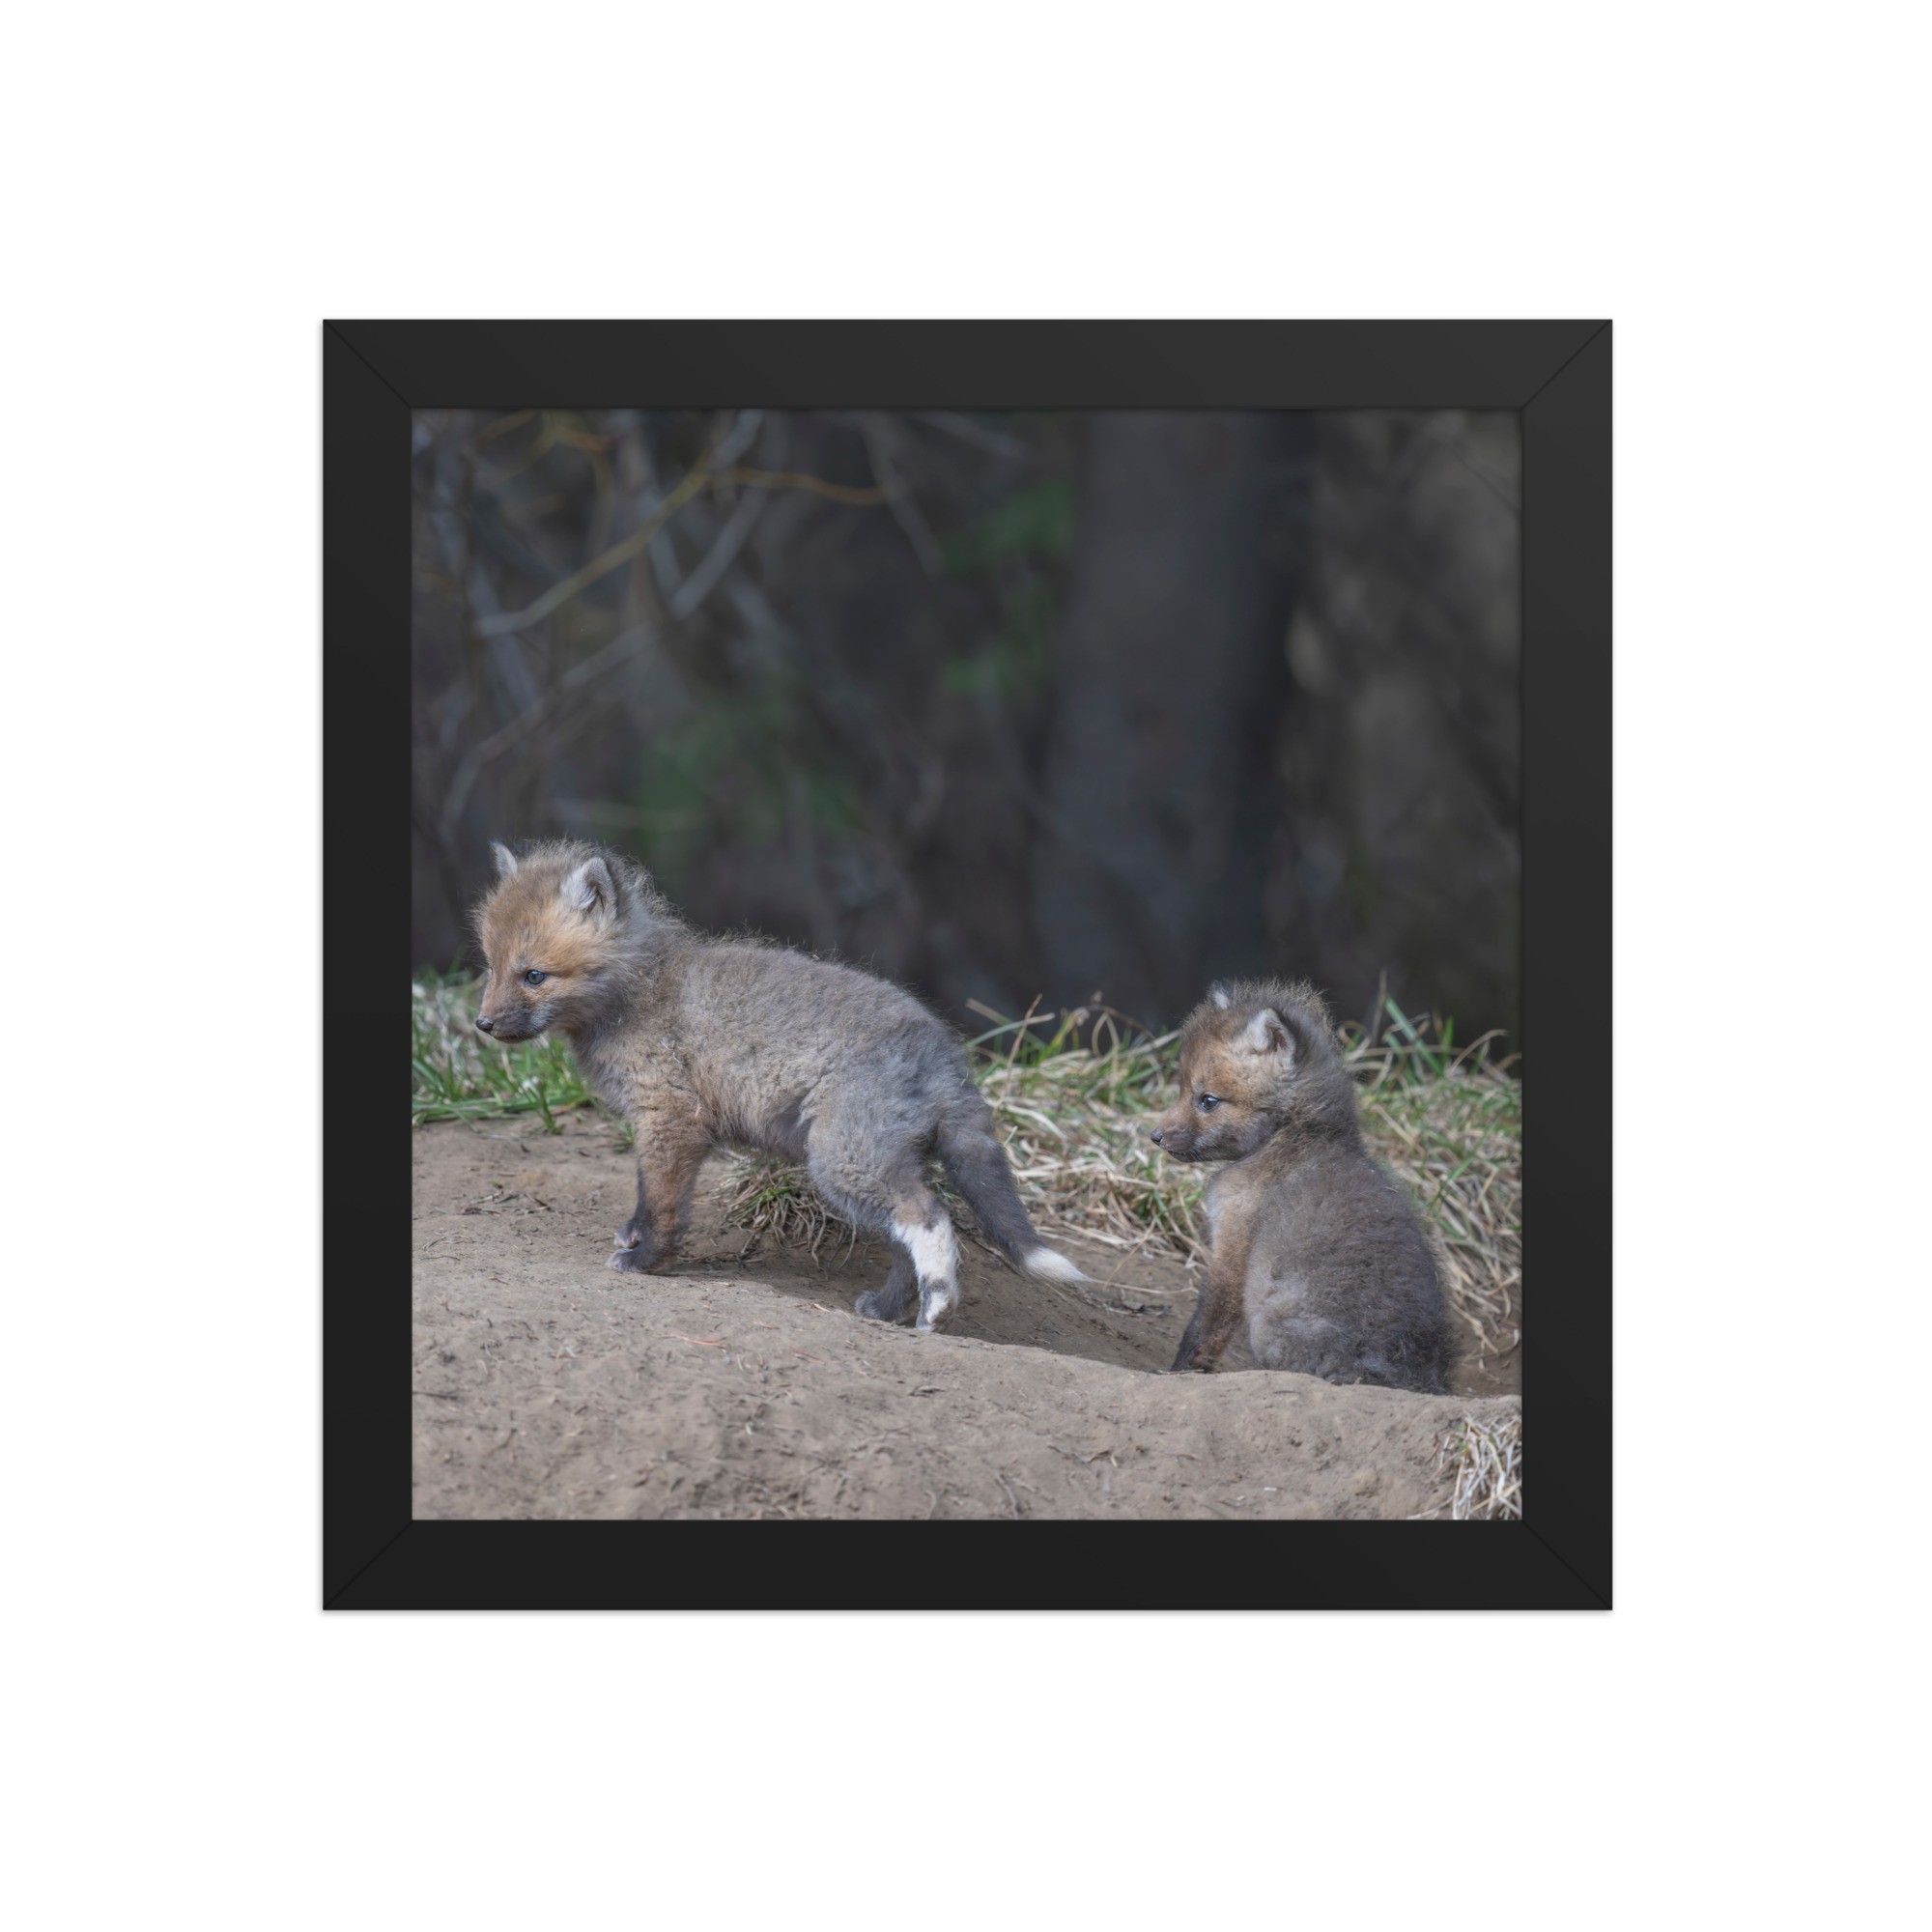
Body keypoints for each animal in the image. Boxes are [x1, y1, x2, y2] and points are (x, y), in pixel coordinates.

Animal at [470, 839, 1086, 1330]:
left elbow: (662, 1202)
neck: (639, 991)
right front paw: (637, 1240)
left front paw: (647, 1262)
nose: (483, 1025)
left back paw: (938, 1307)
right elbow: (649, 1196)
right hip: (872, 1166)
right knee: (904, 1241)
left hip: (843, 1162)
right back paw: (889, 1310)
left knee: (929, 1217)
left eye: (534, 976)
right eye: (491, 967)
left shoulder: (672, 1118)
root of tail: (946, 1053)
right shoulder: (666, 1126)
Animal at [1148, 979, 1448, 1391]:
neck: (1294, 1135)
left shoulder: (1234, 1245)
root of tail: (1408, 1375)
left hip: (1268, 1326)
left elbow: (1204, 1328)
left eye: (1208, 1101)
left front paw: (1178, 1373)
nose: (1155, 1136)